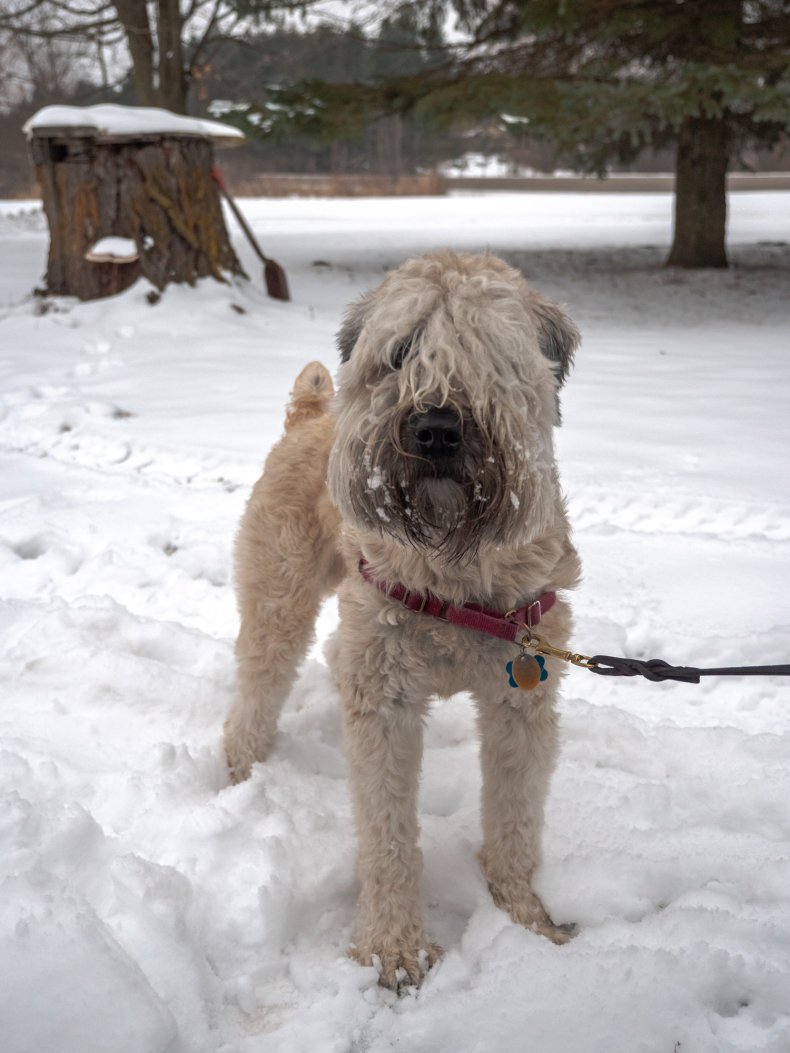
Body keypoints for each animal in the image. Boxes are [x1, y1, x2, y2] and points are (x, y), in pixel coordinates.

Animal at [225, 252, 585, 985]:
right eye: (399, 352)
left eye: (490, 351)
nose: (436, 427)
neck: (456, 577)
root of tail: (311, 414)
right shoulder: (382, 691)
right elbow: (387, 833)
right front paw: (393, 949)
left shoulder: (523, 694)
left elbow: (516, 819)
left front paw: (528, 919)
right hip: (278, 594)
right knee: (258, 683)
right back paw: (240, 771)